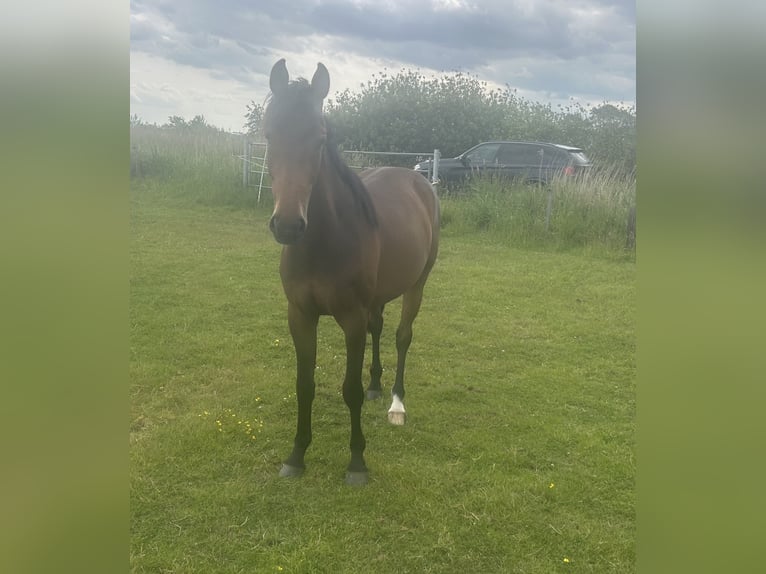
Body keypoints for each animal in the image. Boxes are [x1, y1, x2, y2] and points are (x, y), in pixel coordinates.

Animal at [262, 59, 440, 485]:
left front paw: (357, 462)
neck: (325, 242)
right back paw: (378, 385)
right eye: (269, 133)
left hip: (417, 283)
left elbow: (350, 389)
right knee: (380, 327)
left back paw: (395, 403)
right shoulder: (300, 315)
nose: (288, 225)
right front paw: (296, 456)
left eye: (320, 138)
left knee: (402, 336)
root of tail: (418, 179)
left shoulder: (351, 319)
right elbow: (304, 384)